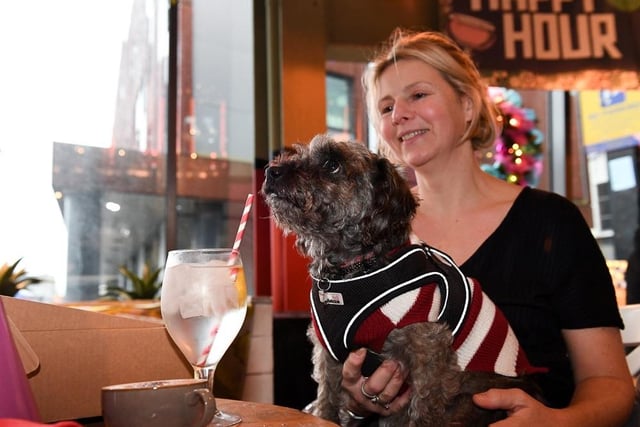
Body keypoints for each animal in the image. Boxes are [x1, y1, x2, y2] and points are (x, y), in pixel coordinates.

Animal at [260, 135, 544, 427]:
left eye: (332, 163)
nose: (271, 171)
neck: (354, 269)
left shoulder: (429, 351)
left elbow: (424, 410)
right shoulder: (329, 352)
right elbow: (327, 398)